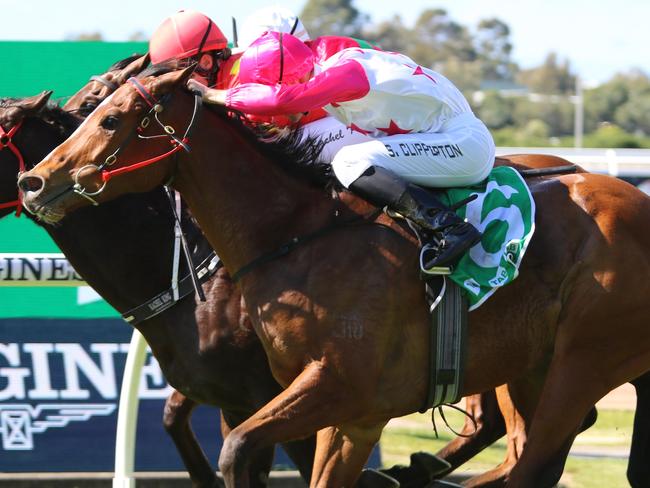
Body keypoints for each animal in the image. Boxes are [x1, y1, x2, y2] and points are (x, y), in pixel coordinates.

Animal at [19, 66, 648, 486]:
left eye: (110, 117)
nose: (36, 181)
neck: (294, 236)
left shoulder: (335, 388)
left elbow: (238, 450)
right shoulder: (350, 415)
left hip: (582, 362)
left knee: (534, 461)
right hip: (536, 368)